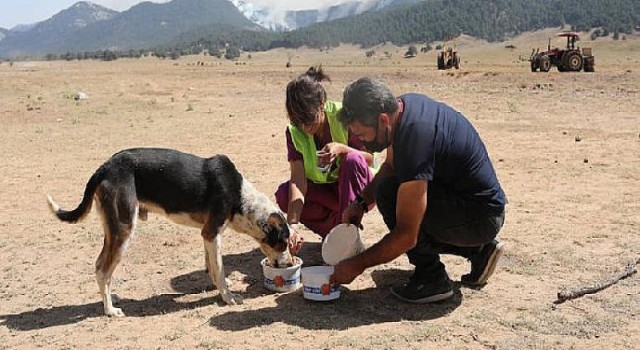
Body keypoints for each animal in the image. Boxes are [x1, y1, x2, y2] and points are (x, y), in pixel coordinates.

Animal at [46, 148, 294, 318]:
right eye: (283, 242)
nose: (290, 263)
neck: (240, 197)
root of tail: (105, 167)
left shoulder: (207, 234)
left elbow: (213, 268)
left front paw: (218, 287)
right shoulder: (212, 233)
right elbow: (220, 269)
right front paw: (228, 297)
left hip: (112, 229)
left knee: (101, 268)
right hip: (123, 230)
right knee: (101, 268)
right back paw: (110, 310)